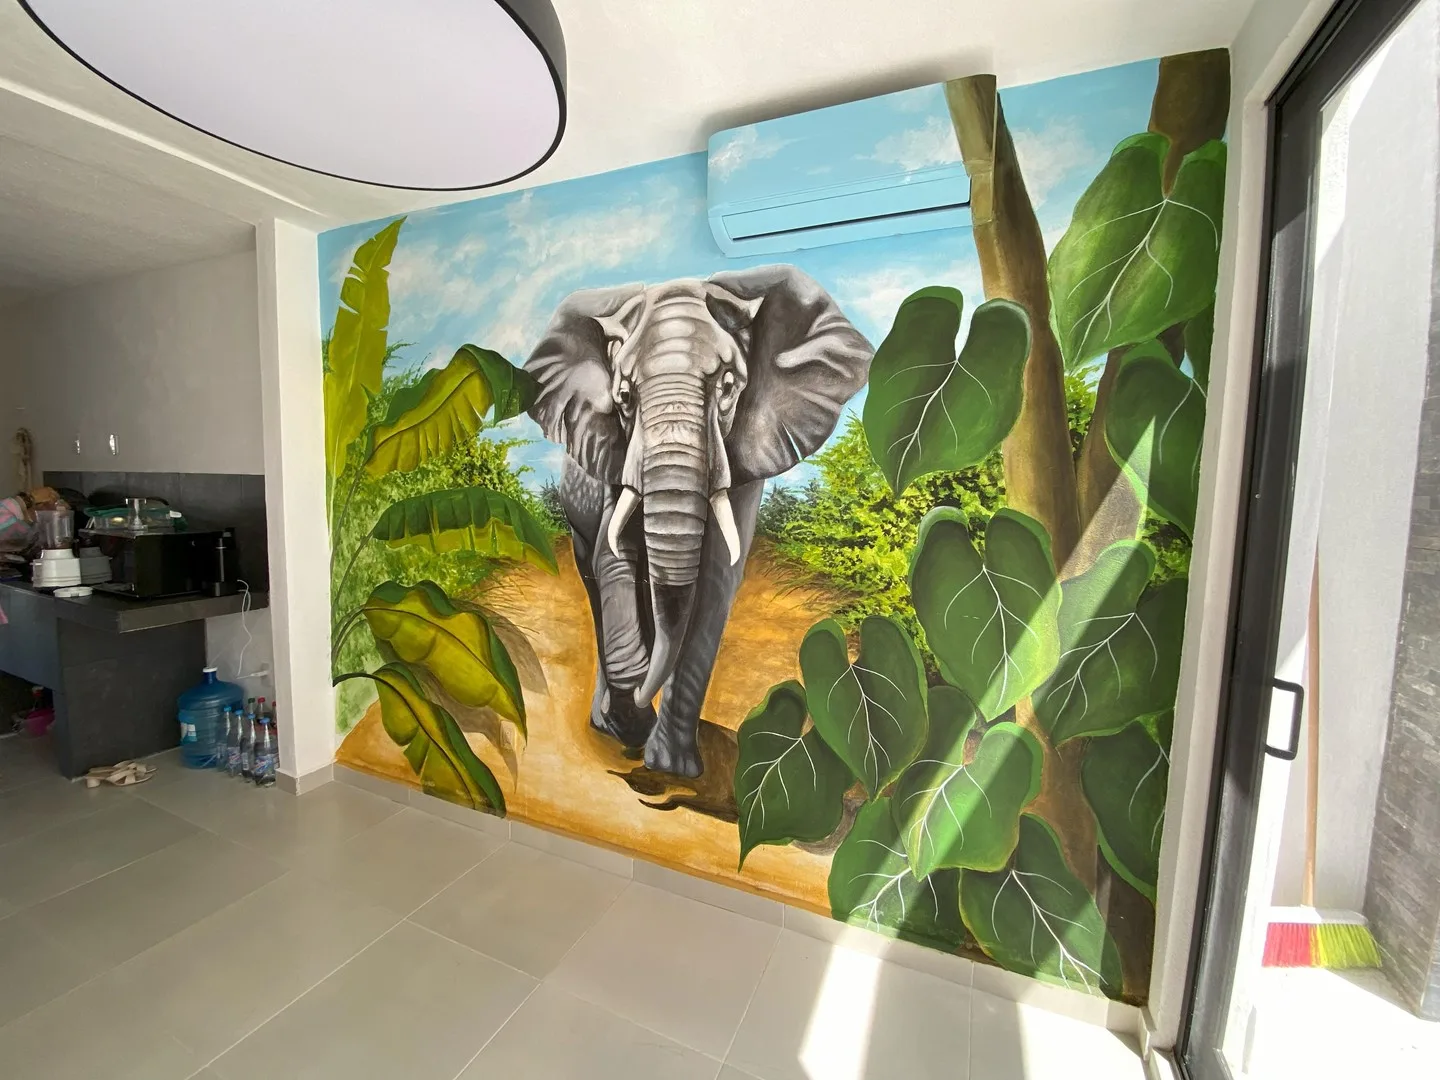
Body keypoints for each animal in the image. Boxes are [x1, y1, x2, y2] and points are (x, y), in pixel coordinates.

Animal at [524, 265, 874, 777]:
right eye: (623, 398)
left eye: (728, 387)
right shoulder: (610, 455)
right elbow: (616, 557)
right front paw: (634, 700)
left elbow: (715, 581)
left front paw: (673, 767)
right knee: (596, 581)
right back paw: (610, 720)